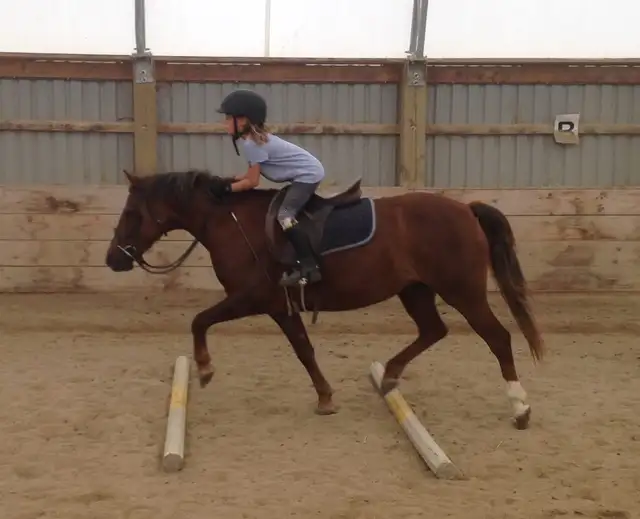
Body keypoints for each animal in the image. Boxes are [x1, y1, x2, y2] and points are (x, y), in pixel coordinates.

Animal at [105, 169, 545, 430]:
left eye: (130, 213)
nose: (113, 259)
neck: (230, 222)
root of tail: (466, 209)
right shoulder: (280, 307)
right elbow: (304, 349)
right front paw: (325, 397)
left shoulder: (252, 299)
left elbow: (199, 320)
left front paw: (206, 368)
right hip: (415, 290)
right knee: (433, 330)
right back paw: (389, 375)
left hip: (462, 291)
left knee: (498, 338)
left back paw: (521, 408)